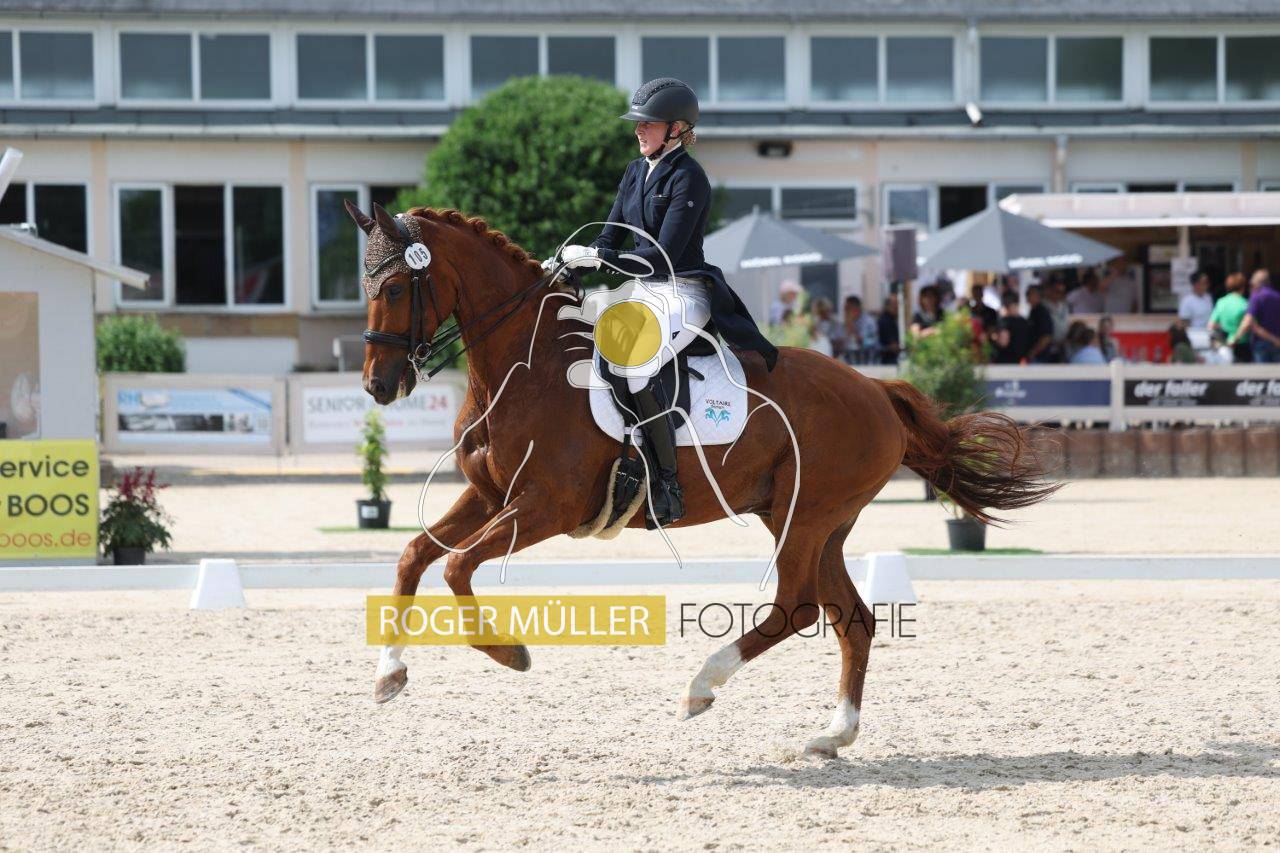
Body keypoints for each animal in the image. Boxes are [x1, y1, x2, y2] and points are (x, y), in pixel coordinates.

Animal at [350, 202, 1056, 758]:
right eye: (366, 284)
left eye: (396, 287)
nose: (379, 387)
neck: (527, 366)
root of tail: (876, 390)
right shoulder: (490, 495)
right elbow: (414, 555)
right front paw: (388, 675)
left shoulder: (547, 505)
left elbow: (457, 567)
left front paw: (508, 653)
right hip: (814, 520)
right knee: (850, 617)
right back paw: (833, 736)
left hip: (806, 515)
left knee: (797, 605)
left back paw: (701, 687)